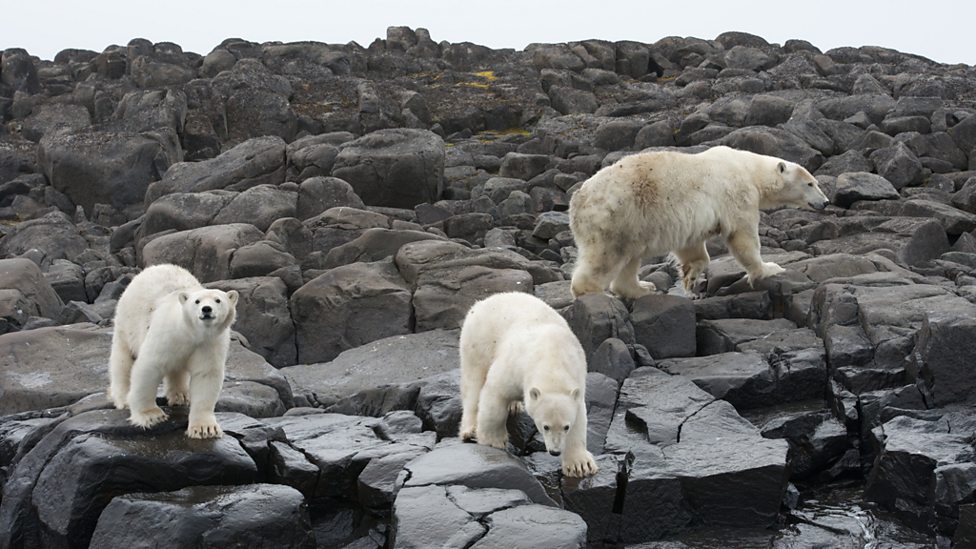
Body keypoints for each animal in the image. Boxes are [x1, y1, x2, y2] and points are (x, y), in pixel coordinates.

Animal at [107, 263, 239, 439]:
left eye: (218, 300)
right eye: (197, 301)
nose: (206, 309)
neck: (191, 333)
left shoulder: (209, 344)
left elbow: (206, 375)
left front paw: (205, 428)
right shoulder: (166, 335)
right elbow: (148, 367)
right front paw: (151, 416)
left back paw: (181, 396)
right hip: (127, 322)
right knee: (123, 360)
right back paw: (123, 398)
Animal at [458, 292, 598, 478]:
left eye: (565, 426)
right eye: (545, 426)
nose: (554, 451)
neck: (552, 358)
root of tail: (483, 302)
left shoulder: (577, 377)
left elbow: (579, 419)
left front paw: (580, 465)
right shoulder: (515, 366)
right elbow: (495, 394)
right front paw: (493, 441)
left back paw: (513, 406)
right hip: (478, 342)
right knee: (473, 384)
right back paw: (470, 430)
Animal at [569, 146, 830, 299]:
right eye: (810, 183)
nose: (826, 202)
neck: (747, 167)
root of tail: (577, 201)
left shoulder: (688, 220)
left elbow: (692, 247)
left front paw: (690, 276)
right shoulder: (737, 193)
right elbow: (742, 236)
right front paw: (768, 268)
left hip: (632, 224)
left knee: (629, 259)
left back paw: (642, 288)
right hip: (615, 216)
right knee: (606, 257)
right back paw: (594, 292)